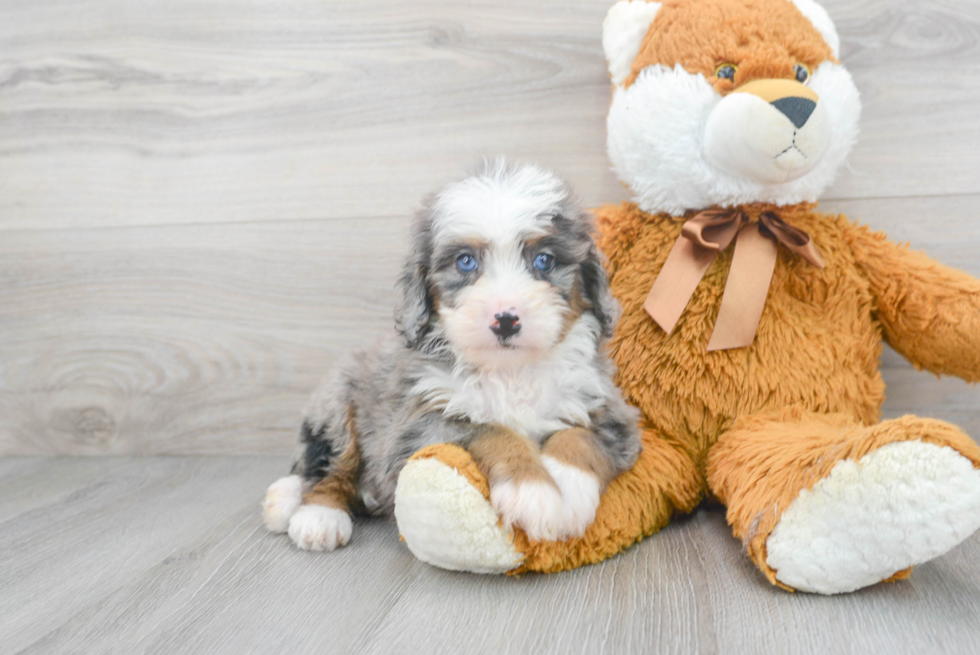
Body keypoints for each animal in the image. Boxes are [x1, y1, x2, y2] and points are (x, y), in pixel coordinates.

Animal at [264, 161, 640, 552]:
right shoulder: (418, 425)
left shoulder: (610, 407)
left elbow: (579, 437)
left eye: (544, 260)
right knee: (329, 466)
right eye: (465, 262)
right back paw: (314, 516)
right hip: (338, 400)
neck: (510, 371)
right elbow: (490, 430)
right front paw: (532, 490)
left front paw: (567, 489)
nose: (506, 320)